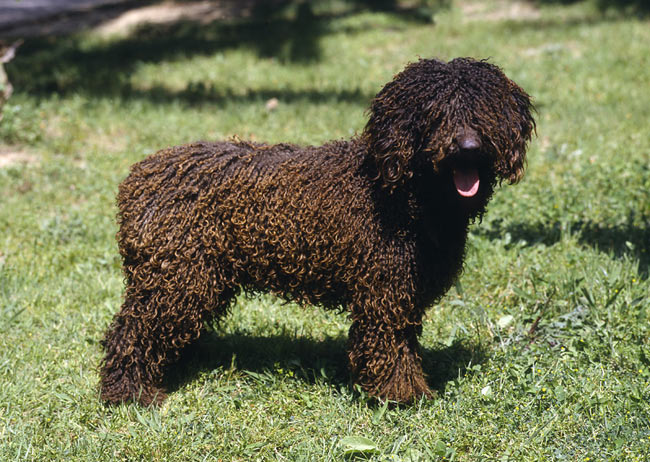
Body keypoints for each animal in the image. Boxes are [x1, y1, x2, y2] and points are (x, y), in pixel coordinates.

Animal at [100, 56, 532, 404]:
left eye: (485, 110)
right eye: (435, 113)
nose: (468, 147)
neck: (402, 192)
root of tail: (138, 177)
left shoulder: (403, 293)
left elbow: (404, 345)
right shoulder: (382, 294)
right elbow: (389, 348)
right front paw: (401, 396)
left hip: (195, 278)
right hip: (175, 278)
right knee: (129, 332)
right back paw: (129, 393)